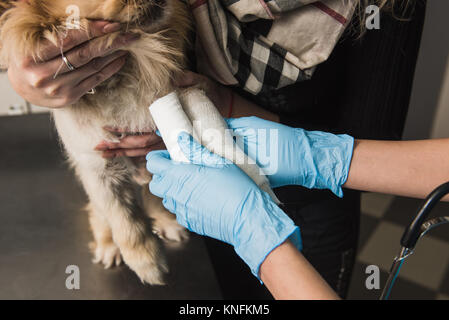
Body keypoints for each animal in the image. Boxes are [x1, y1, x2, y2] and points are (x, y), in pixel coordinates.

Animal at [0, 0, 274, 284]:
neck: (133, 59)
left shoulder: (156, 148)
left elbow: (155, 195)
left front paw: (166, 221)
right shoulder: (99, 170)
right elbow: (124, 219)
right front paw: (146, 262)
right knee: (98, 215)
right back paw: (108, 247)